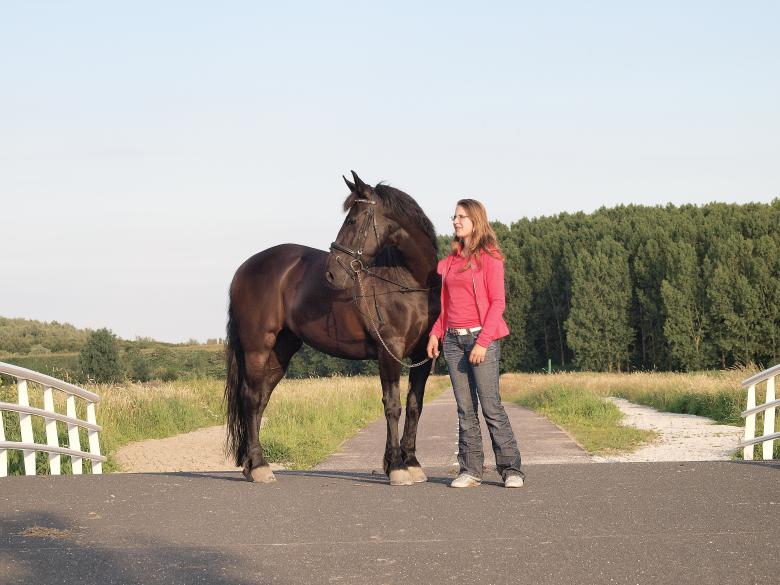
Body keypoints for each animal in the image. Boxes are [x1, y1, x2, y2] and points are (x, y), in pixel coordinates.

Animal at [224, 171, 441, 485]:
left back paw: (251, 465)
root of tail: (244, 269)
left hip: (281, 350)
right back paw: (261, 466)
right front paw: (397, 468)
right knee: (250, 398)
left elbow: (414, 406)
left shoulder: (423, 354)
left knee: (261, 399)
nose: (332, 273)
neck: (409, 281)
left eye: (352, 220)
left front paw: (410, 463)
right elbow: (392, 406)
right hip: (257, 347)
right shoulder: (390, 350)